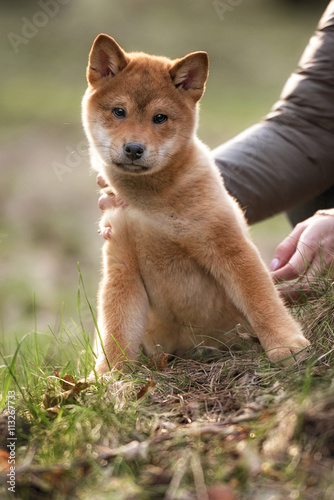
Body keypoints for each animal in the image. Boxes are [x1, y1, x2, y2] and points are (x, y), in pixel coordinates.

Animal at [81, 34, 310, 376]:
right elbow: (116, 332)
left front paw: (286, 346)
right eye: (119, 111)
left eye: (160, 118)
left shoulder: (229, 246)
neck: (151, 204)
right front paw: (109, 378)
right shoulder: (122, 264)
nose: (134, 148)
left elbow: (262, 301)